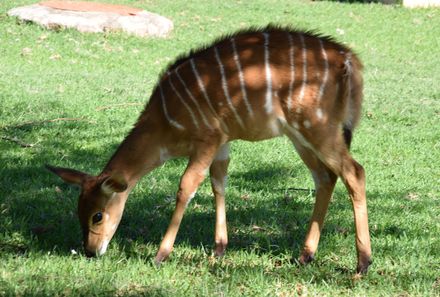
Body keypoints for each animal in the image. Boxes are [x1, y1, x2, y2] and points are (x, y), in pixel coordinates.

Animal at [47, 25, 372, 272]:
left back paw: (362, 263)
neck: (164, 122)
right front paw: (219, 249)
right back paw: (305, 255)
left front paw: (161, 254)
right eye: (78, 210)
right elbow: (219, 183)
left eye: (97, 215)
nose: (90, 251)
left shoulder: (207, 138)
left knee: (354, 171)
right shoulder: (223, 142)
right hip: (299, 134)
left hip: (316, 126)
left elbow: (186, 188)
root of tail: (349, 60)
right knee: (325, 177)